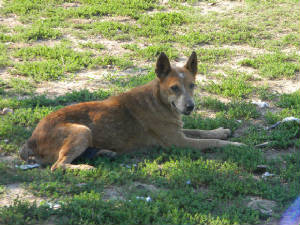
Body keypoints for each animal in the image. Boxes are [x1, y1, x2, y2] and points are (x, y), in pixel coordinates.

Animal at [19, 51, 244, 171]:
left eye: (192, 85)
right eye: (174, 88)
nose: (190, 106)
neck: (158, 100)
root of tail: (30, 140)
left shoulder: (178, 131)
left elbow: (202, 132)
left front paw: (221, 131)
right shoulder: (178, 142)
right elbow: (210, 142)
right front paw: (234, 144)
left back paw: (104, 153)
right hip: (81, 130)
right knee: (58, 166)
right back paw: (86, 168)